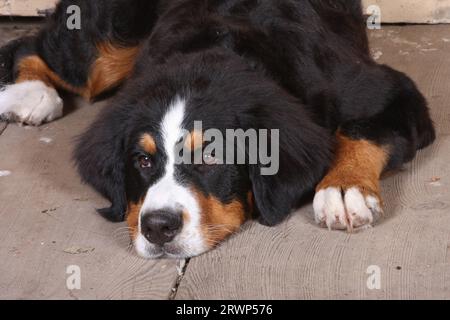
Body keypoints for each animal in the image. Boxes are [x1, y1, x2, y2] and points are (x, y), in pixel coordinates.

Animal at [0, 0, 436, 260]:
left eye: (212, 156)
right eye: (142, 161)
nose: (158, 227)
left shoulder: (389, 90)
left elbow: (362, 131)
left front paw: (344, 189)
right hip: (109, 45)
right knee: (32, 45)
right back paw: (31, 93)